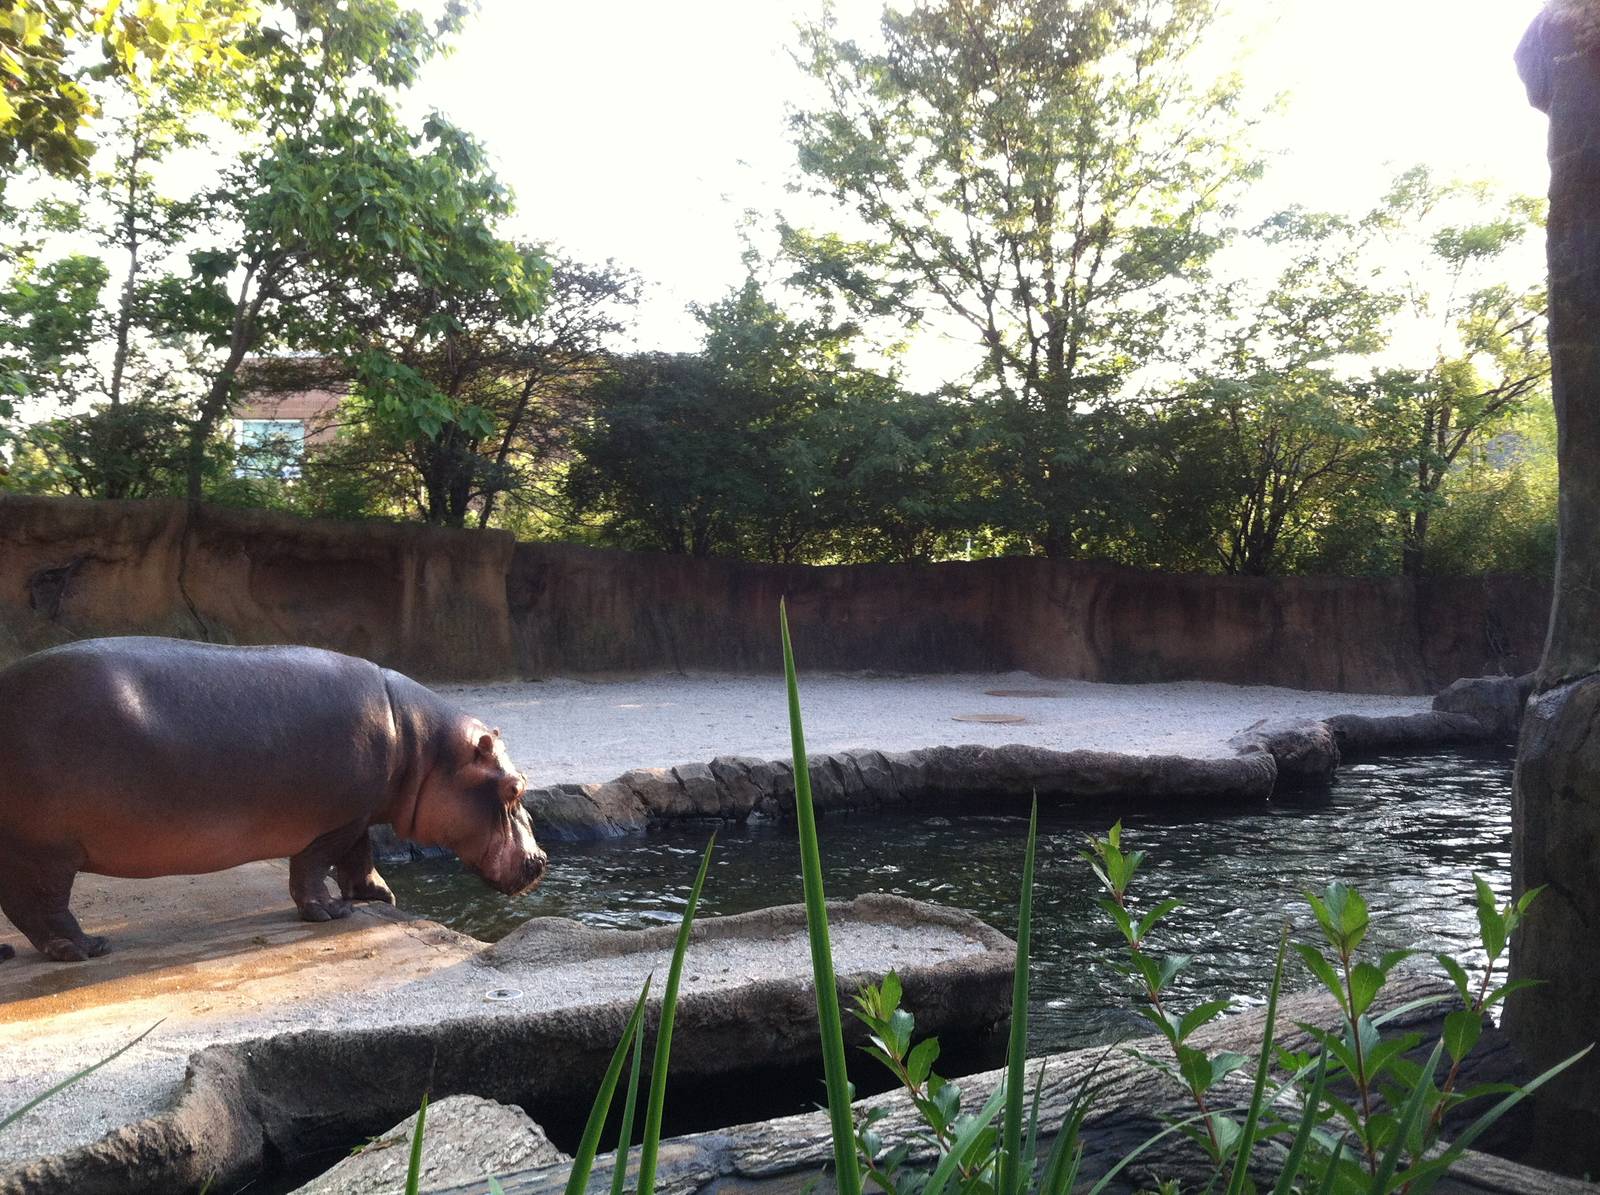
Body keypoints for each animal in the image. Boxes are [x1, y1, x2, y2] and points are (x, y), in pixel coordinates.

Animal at [0, 637, 546, 962]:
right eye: (515, 788)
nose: (541, 860)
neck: (423, 745)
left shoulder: (359, 813)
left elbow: (360, 857)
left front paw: (379, 897)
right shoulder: (337, 820)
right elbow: (316, 864)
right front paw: (330, 913)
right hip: (46, 850)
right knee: (38, 904)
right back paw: (85, 948)